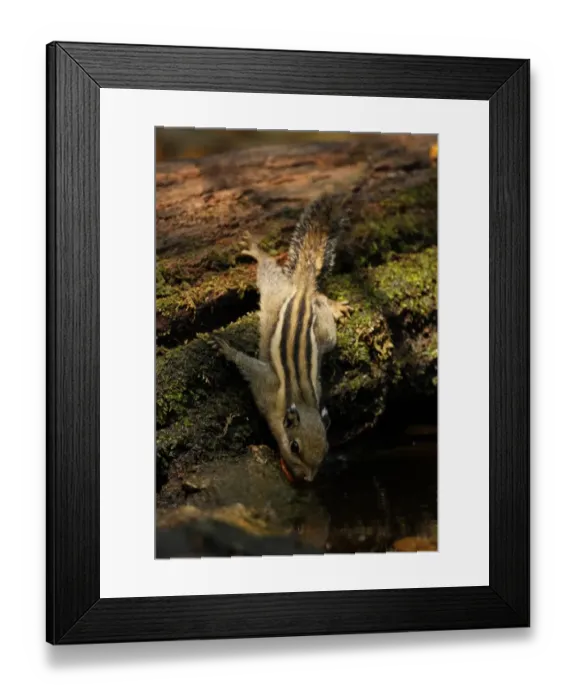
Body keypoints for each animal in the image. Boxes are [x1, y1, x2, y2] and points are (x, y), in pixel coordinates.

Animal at [209, 194, 350, 484]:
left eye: (327, 449)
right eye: (294, 447)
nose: (308, 479)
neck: (301, 401)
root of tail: (301, 292)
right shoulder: (265, 381)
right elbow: (246, 363)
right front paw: (226, 348)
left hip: (324, 335)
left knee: (319, 300)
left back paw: (332, 305)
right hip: (273, 291)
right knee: (267, 270)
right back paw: (257, 251)